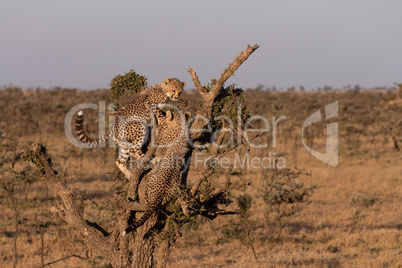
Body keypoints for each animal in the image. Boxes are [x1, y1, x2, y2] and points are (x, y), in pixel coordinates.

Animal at [121, 108, 189, 236]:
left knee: (147, 202)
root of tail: (158, 196)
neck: (179, 127)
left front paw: (155, 108)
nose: (167, 110)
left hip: (149, 187)